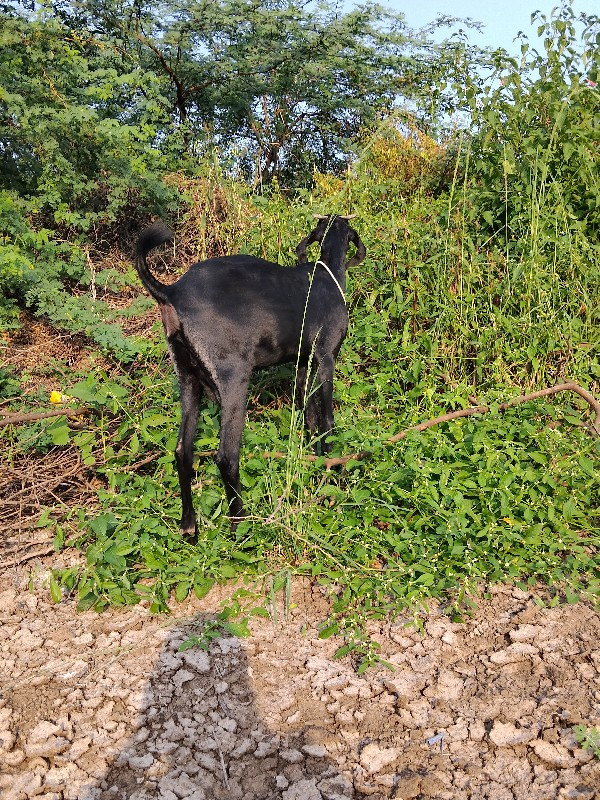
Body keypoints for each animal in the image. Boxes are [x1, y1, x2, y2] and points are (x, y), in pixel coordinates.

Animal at [134, 217, 366, 536]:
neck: (327, 273)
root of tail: (173, 292)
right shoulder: (326, 356)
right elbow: (327, 420)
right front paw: (332, 472)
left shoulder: (302, 363)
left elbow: (307, 414)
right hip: (234, 377)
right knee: (226, 455)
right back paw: (241, 524)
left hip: (187, 378)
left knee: (183, 451)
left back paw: (189, 526)